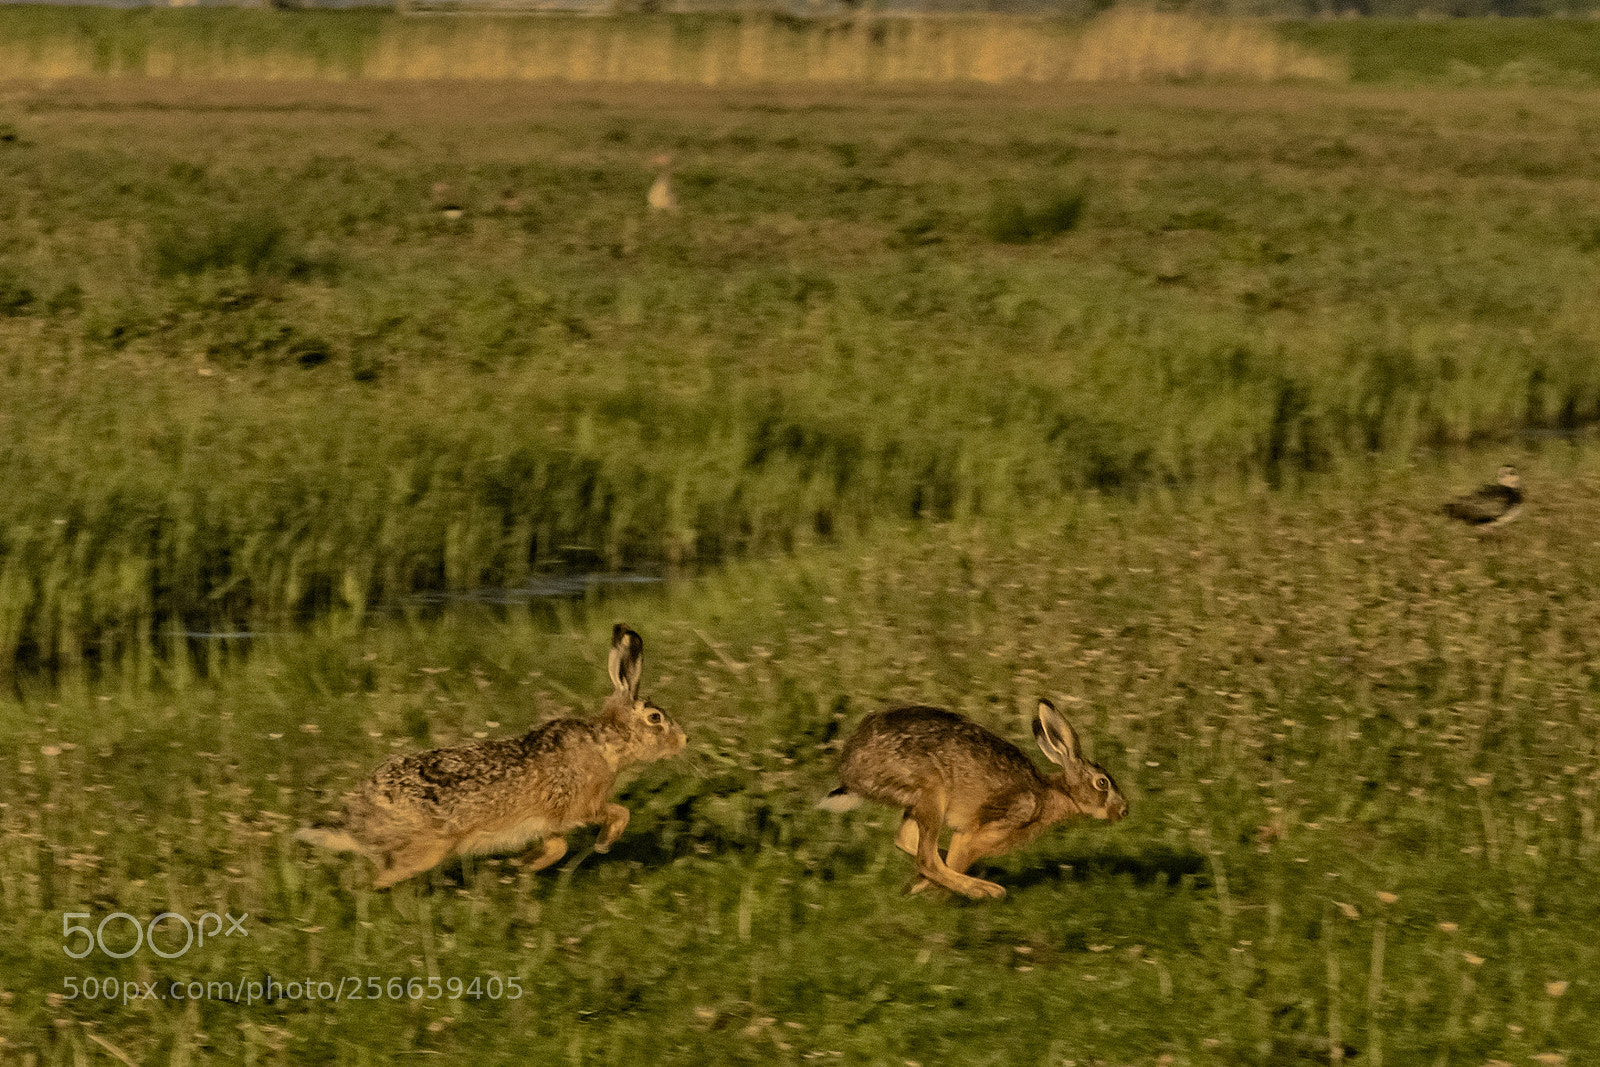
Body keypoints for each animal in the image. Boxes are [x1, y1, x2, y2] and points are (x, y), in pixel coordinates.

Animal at [296, 624, 685, 889]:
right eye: (655, 718)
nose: (683, 739)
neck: (607, 741)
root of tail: (356, 822)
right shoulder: (580, 806)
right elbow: (618, 814)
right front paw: (604, 844)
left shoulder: (546, 823)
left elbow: (557, 845)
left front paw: (523, 865)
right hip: (425, 849)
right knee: (372, 881)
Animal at [818, 700, 1127, 899]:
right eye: (1102, 783)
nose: (1123, 810)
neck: (1051, 793)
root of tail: (851, 769)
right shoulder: (985, 830)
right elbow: (956, 860)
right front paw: (924, 891)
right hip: (932, 793)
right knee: (927, 859)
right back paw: (987, 890)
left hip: (918, 803)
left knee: (908, 841)